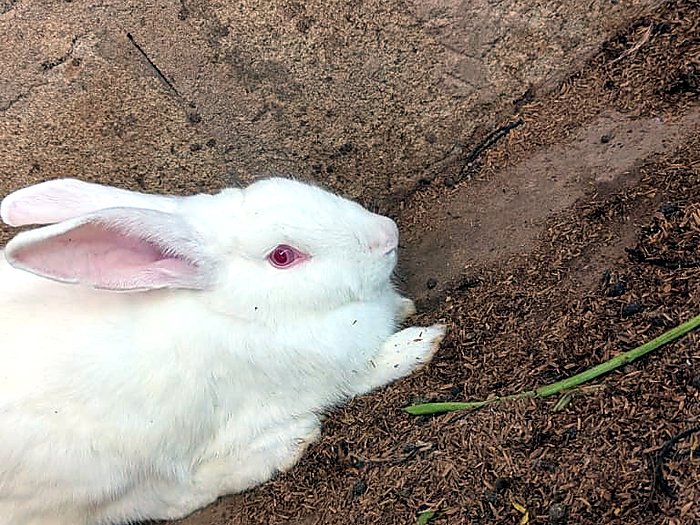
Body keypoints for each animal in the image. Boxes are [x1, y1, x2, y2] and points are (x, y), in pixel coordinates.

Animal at [0, 177, 445, 525]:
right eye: (283, 256)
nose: (387, 234)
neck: (234, 310)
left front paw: (404, 308)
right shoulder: (334, 373)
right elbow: (374, 366)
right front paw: (423, 341)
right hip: (95, 472)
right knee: (162, 500)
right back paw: (286, 444)